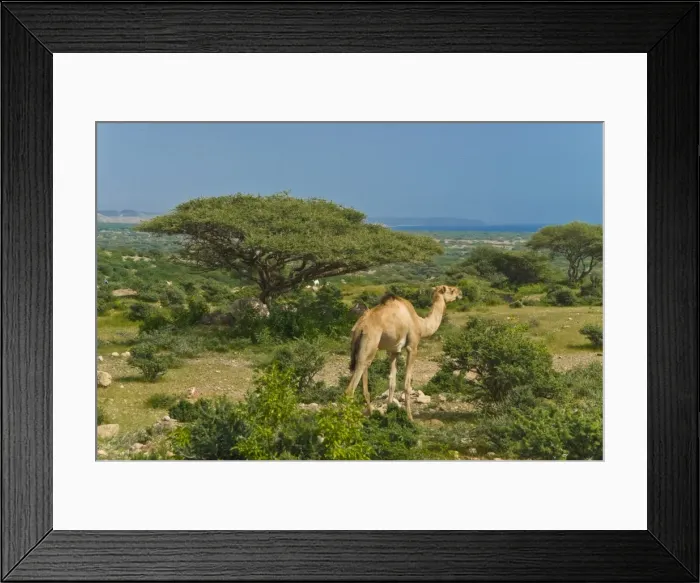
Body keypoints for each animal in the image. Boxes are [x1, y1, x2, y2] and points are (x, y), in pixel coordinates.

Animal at [345, 285, 462, 420]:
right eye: (451, 290)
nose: (460, 292)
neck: (421, 325)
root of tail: (359, 328)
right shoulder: (412, 347)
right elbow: (407, 384)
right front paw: (410, 417)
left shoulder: (394, 350)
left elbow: (392, 382)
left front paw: (388, 412)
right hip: (369, 345)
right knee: (350, 389)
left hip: (363, 350)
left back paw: (370, 413)